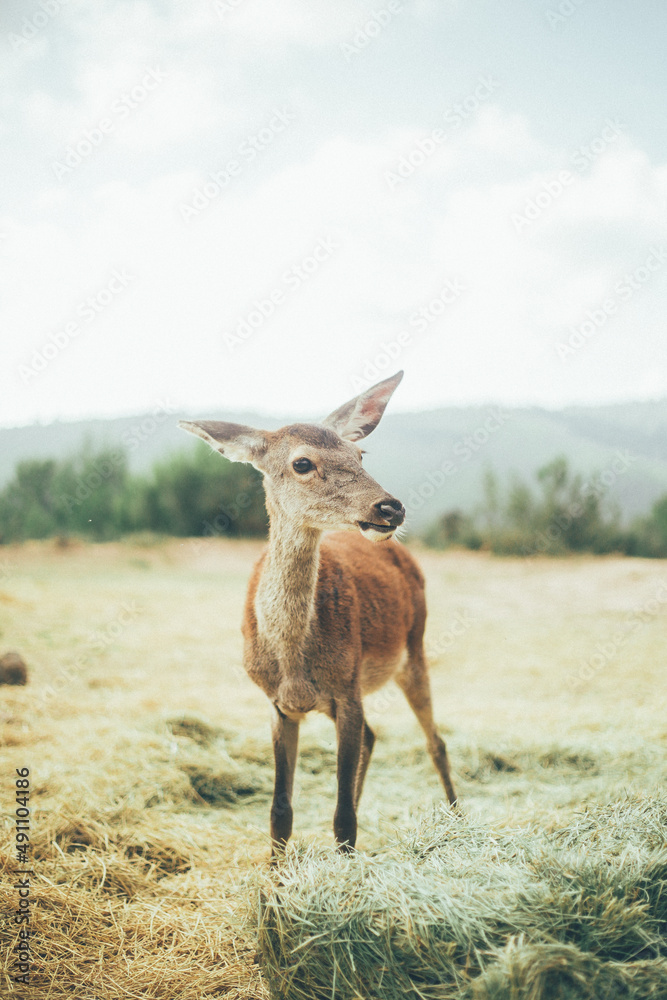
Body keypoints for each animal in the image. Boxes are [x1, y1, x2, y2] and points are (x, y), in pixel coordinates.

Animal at [179, 371, 457, 855]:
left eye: (360, 454)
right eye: (302, 463)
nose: (390, 507)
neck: (292, 659)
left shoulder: (347, 689)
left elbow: (342, 818)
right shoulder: (279, 704)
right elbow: (280, 812)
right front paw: (275, 872)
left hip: (414, 648)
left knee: (435, 741)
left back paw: (459, 821)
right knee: (376, 736)